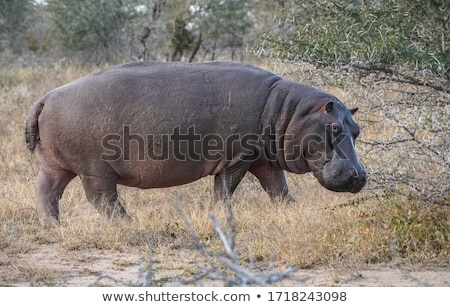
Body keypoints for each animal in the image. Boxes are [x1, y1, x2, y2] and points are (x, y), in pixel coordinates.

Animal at [25, 62, 366, 226]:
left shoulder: (263, 159)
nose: (360, 176)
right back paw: (130, 224)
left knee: (46, 190)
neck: (289, 110)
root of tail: (45, 97)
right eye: (335, 126)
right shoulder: (238, 158)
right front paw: (219, 216)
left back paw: (54, 226)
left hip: (56, 164)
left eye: (357, 129)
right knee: (102, 199)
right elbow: (224, 189)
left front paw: (292, 209)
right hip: (94, 168)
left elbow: (278, 188)